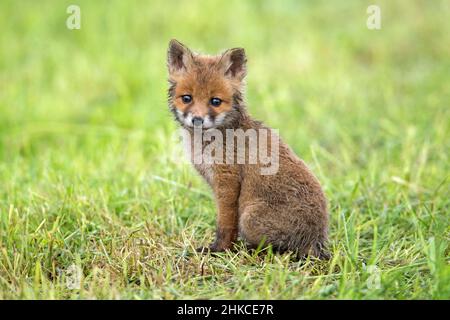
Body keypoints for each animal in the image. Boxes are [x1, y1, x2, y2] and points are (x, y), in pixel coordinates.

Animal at [167, 40, 328, 258]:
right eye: (186, 98)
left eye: (215, 101)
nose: (197, 119)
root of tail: (317, 240)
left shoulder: (228, 182)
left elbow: (225, 225)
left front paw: (219, 250)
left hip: (249, 218)